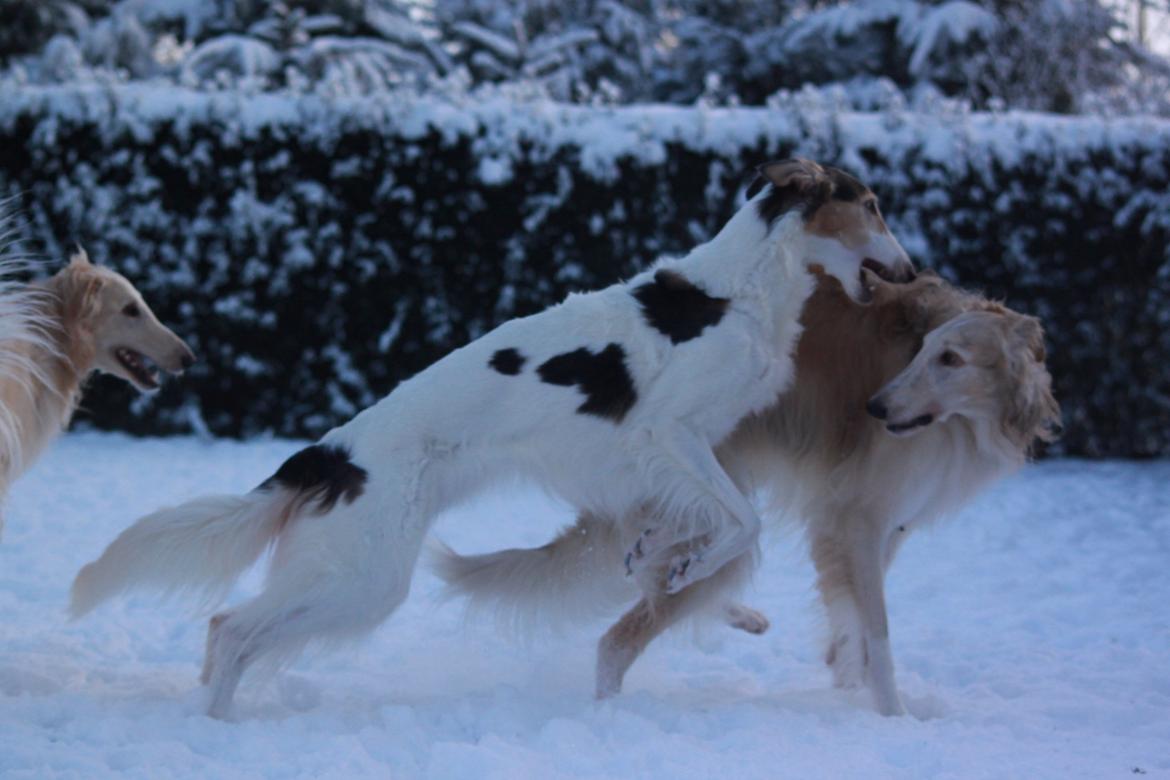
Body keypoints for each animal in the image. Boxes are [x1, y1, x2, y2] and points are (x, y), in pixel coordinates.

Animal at [68, 159, 912, 720]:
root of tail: (329, 455)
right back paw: (217, 722)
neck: (737, 291)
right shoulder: (667, 431)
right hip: (366, 577)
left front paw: (665, 560)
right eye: (871, 206)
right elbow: (741, 522)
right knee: (235, 628)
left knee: (224, 629)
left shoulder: (657, 458)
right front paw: (687, 566)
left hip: (353, 572)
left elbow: (676, 531)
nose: (909, 271)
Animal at [435, 271, 1067, 715]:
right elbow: (878, 633)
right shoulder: (855, 519)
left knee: (653, 566)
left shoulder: (879, 529)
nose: (875, 409)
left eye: (951, 358)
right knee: (617, 638)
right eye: (922, 353)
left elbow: (853, 630)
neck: (965, 422)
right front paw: (895, 719)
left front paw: (848, 688)